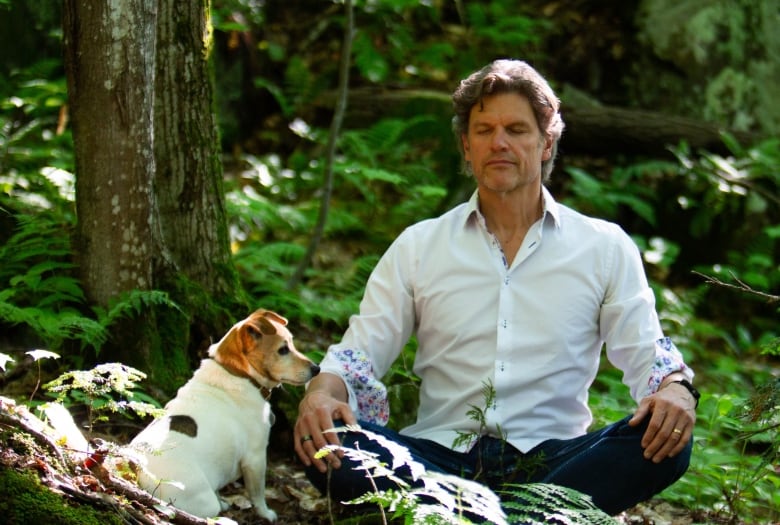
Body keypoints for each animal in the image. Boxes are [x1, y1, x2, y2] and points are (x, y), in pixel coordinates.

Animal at [129, 308, 318, 520]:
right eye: (283, 350)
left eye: (292, 343)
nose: (317, 369)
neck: (238, 373)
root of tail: (139, 469)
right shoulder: (256, 457)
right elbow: (257, 494)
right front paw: (266, 514)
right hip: (201, 501)